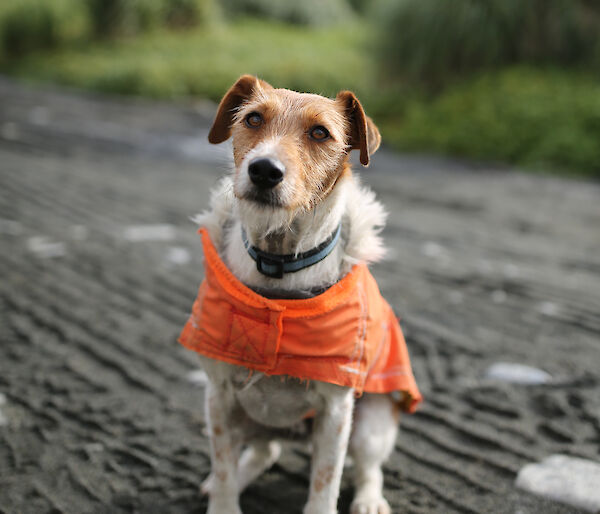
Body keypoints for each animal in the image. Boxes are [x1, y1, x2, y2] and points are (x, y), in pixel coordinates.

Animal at [178, 76, 422, 512]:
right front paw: (223, 497)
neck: (277, 267)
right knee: (264, 452)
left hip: (370, 425)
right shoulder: (219, 396)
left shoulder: (337, 412)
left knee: (369, 468)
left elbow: (325, 483)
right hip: (248, 416)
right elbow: (223, 471)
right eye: (253, 118)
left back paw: (369, 500)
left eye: (320, 132)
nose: (263, 169)